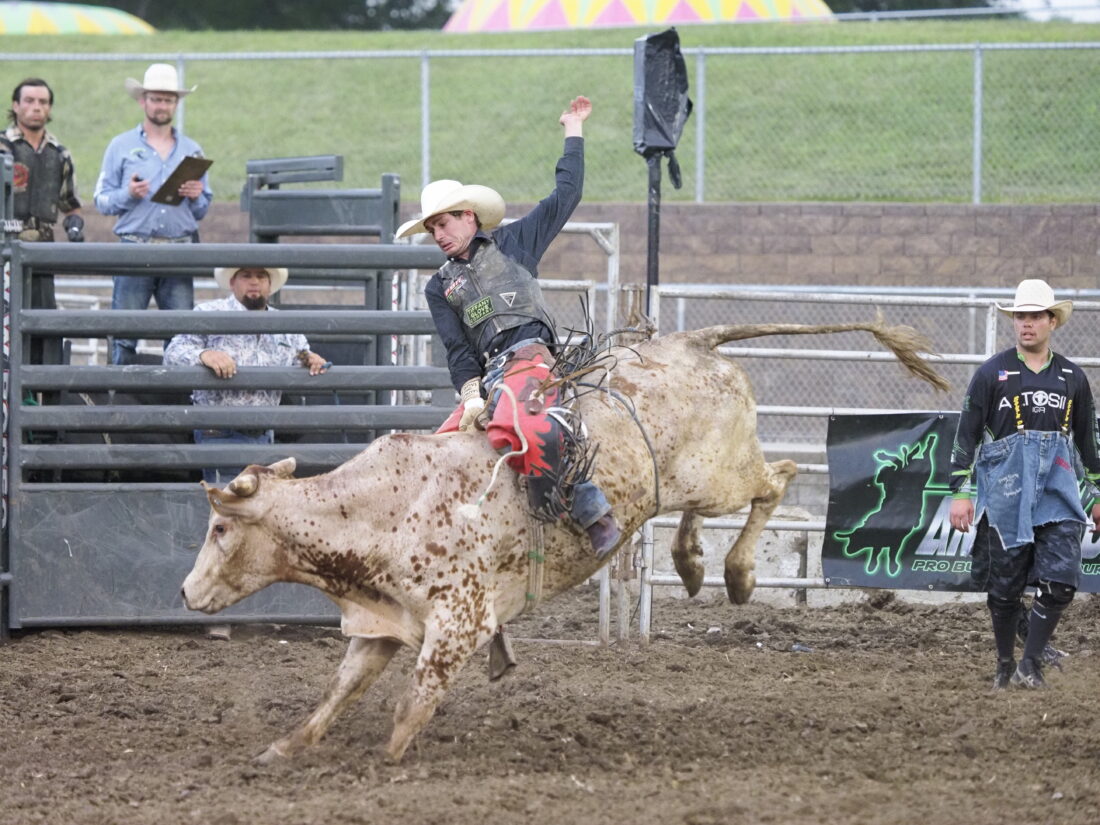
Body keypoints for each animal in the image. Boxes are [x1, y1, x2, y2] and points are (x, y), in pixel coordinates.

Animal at [181, 320, 947, 763]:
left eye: (219, 527)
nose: (186, 591)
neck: (381, 506)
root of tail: (690, 342)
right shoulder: (383, 624)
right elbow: (339, 690)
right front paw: (285, 747)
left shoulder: (460, 622)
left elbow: (413, 701)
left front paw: (386, 759)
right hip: (690, 485)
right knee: (706, 511)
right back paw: (689, 564)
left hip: (723, 473)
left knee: (779, 479)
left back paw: (736, 574)